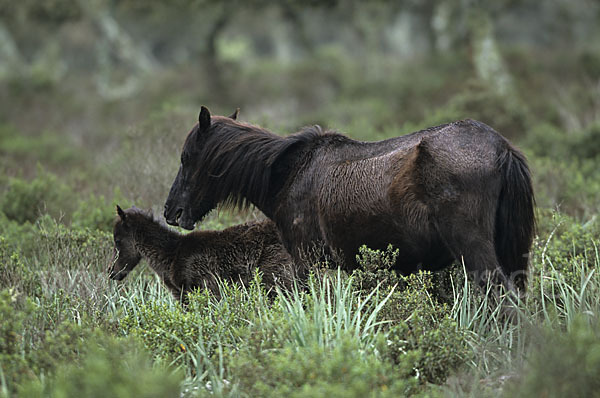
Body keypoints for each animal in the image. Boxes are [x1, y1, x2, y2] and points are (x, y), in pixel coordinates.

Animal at [109, 207, 296, 300]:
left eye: (117, 240)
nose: (112, 272)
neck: (171, 256)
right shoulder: (182, 295)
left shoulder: (206, 288)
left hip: (276, 278)